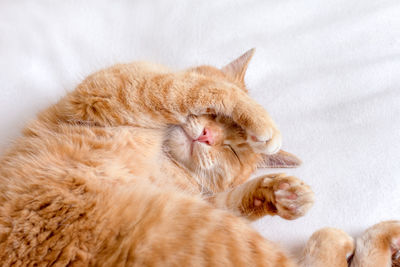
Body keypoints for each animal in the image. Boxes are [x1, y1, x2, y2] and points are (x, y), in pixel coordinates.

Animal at [0, 49, 398, 266]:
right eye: (217, 119)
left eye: (233, 150)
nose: (208, 135)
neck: (162, 155)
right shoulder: (116, 91)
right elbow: (197, 88)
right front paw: (264, 124)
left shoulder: (198, 197)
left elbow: (231, 199)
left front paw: (281, 194)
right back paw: (369, 237)